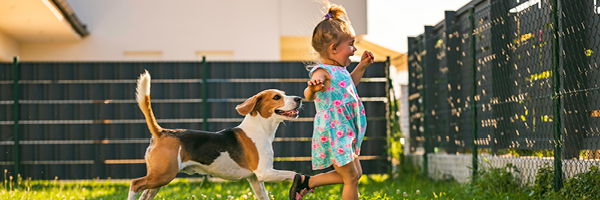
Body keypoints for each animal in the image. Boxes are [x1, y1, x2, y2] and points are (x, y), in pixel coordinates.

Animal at [128, 71, 302, 200]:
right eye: (276, 97)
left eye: (284, 94)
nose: (299, 98)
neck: (259, 128)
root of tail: (161, 132)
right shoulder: (265, 172)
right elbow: (294, 174)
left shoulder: (255, 179)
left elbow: (264, 196)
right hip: (162, 175)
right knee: (135, 184)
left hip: (159, 179)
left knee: (144, 194)